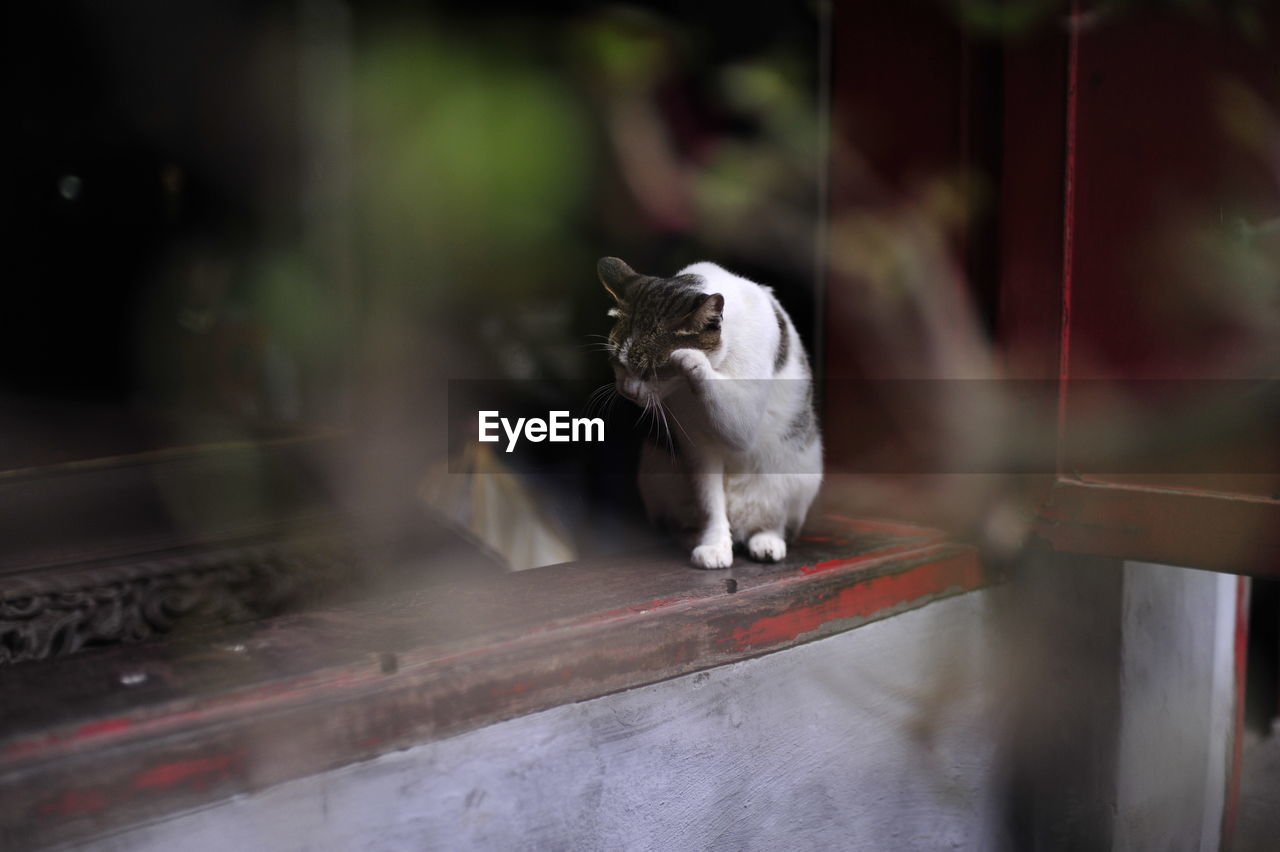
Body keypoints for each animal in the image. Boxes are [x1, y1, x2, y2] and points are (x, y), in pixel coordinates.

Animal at [596, 255, 819, 568]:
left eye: (654, 371)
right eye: (618, 362)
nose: (628, 391)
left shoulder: (744, 416)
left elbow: (738, 422)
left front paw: (689, 357)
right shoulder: (697, 444)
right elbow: (709, 501)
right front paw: (714, 546)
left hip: (797, 474)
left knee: (775, 518)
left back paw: (766, 541)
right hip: (657, 475)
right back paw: (691, 536)